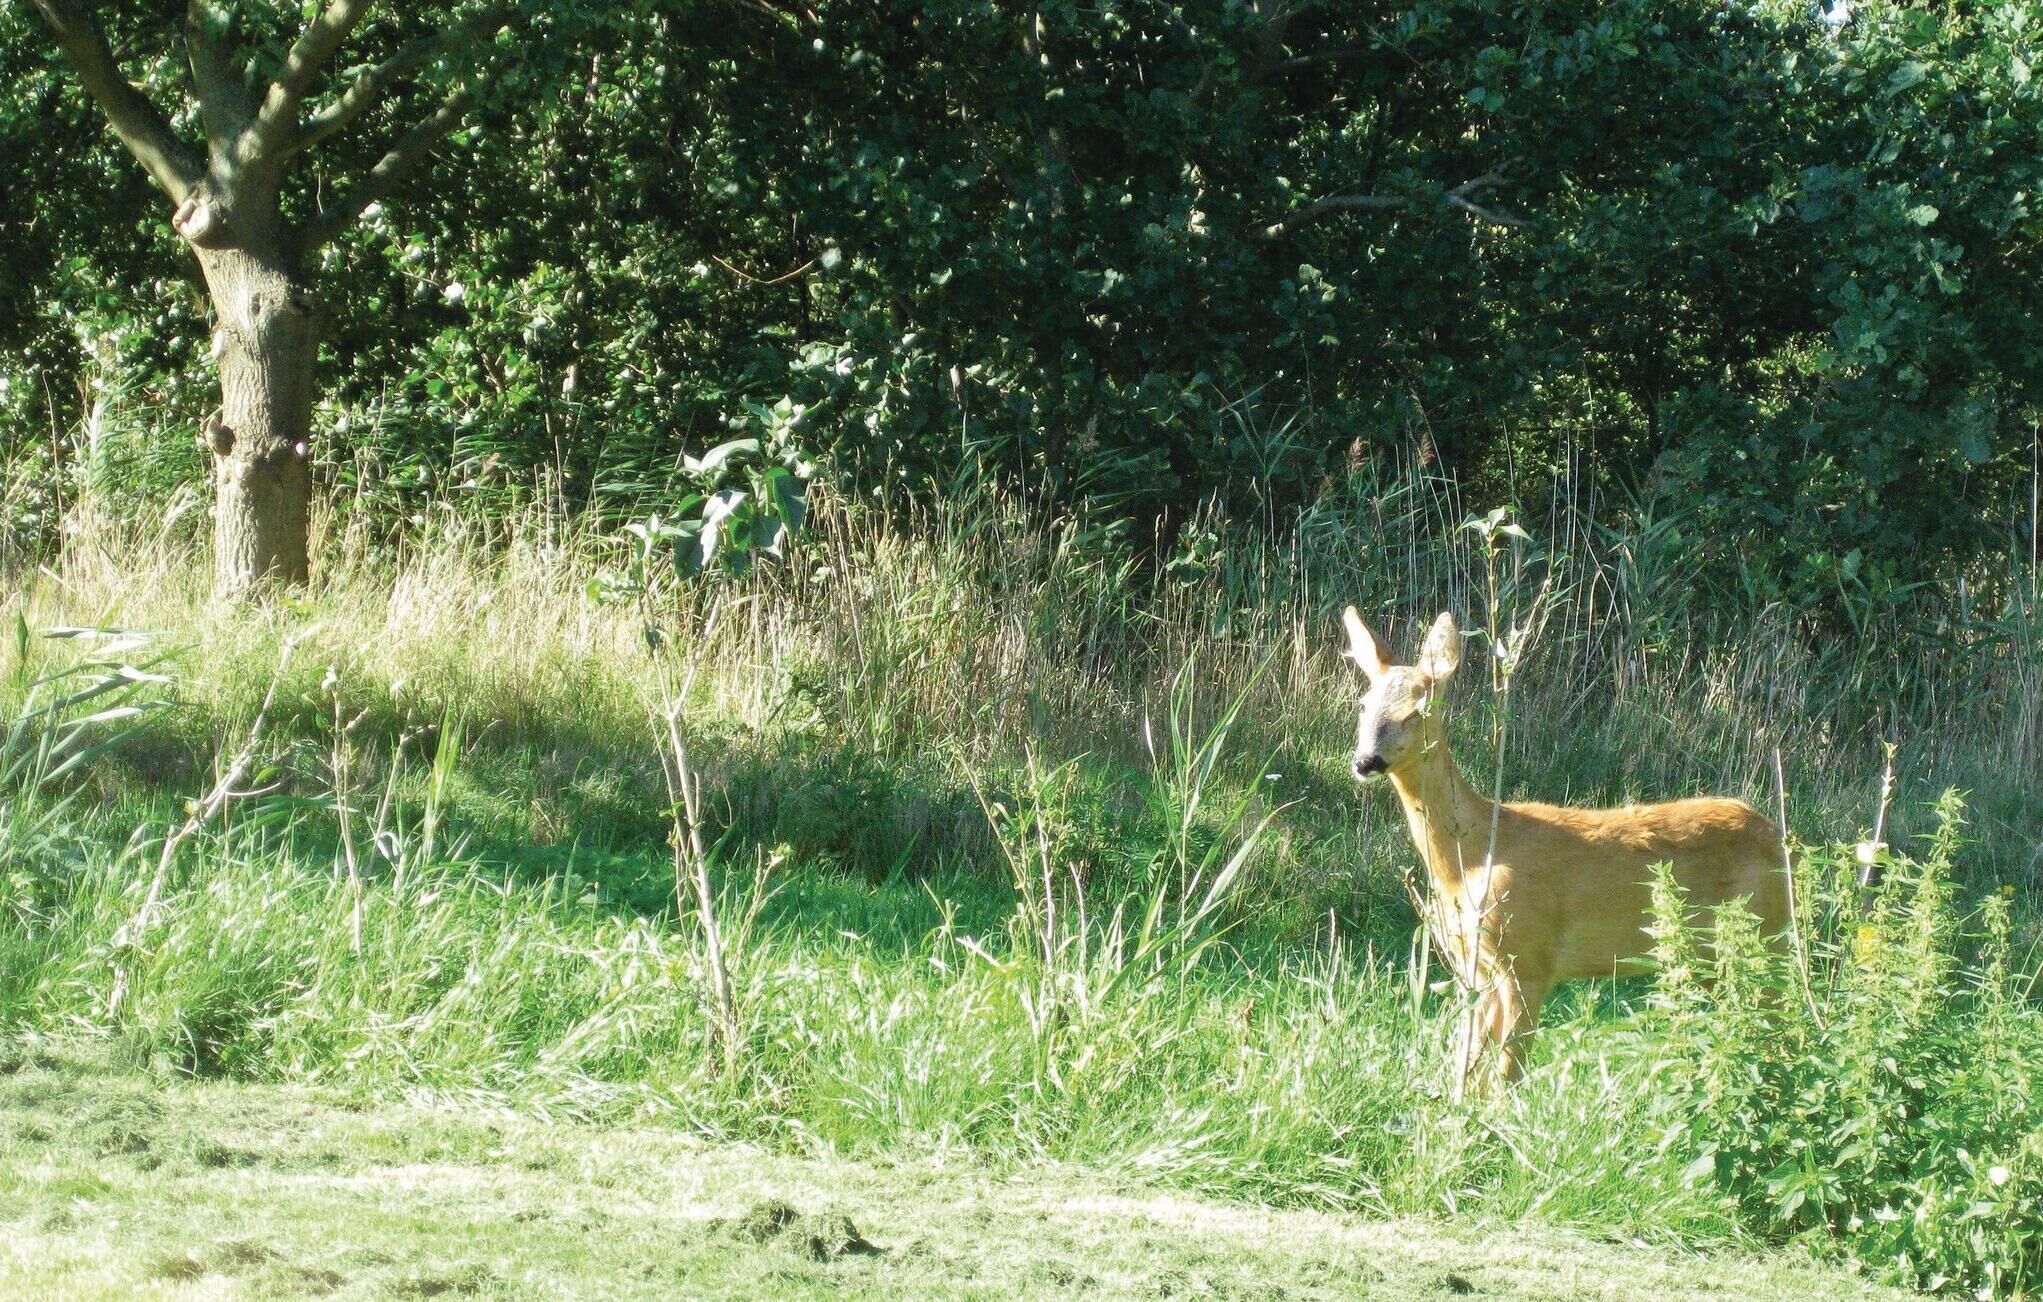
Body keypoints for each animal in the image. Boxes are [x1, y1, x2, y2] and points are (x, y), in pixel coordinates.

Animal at [1341, 607, 1789, 1097]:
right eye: (1364, 704)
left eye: (1418, 709)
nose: (1365, 762)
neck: (1471, 858)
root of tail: (1780, 840)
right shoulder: (1475, 967)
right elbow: (1471, 1066)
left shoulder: (1530, 957)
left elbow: (1508, 1074)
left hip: (1763, 935)